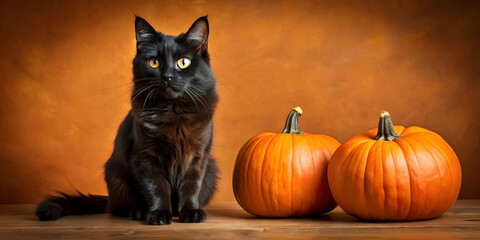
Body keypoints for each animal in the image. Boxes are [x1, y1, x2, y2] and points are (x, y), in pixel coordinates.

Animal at [35, 15, 219, 225]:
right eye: (154, 62)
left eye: (183, 62)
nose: (168, 76)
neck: (172, 112)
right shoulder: (144, 156)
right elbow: (156, 187)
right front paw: (159, 214)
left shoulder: (198, 156)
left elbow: (191, 186)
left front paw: (190, 212)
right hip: (115, 173)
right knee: (118, 207)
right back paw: (138, 211)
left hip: (212, 171)